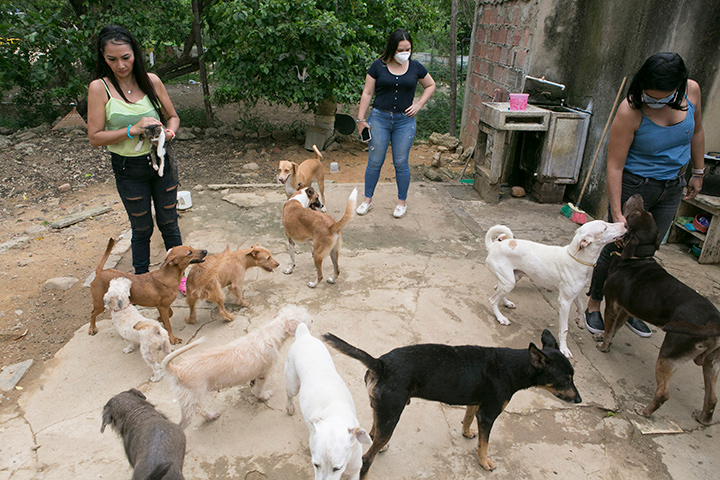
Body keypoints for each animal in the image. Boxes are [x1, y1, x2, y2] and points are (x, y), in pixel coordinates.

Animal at [162, 304, 312, 428]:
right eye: (306, 319)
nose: (312, 321)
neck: (270, 333)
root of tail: (178, 370)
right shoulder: (264, 372)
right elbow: (260, 390)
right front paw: (264, 396)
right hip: (194, 398)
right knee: (189, 418)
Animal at [284, 322, 372, 480]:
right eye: (315, 464)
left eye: (337, 468)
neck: (337, 417)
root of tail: (304, 335)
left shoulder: (354, 471)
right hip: (293, 384)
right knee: (289, 394)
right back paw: (290, 407)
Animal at [324, 328, 584, 474]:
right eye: (565, 379)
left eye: (573, 376)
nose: (580, 399)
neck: (512, 367)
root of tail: (380, 363)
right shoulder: (488, 414)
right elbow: (484, 443)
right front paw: (485, 462)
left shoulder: (475, 403)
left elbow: (467, 419)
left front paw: (467, 433)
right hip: (392, 415)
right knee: (367, 459)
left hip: (383, 411)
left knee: (373, 433)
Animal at [486, 219, 628, 358]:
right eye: (605, 228)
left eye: (606, 223)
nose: (626, 224)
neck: (577, 258)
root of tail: (493, 245)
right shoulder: (564, 301)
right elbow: (564, 330)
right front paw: (564, 349)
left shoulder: (575, 294)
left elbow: (581, 306)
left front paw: (580, 321)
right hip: (509, 282)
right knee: (492, 300)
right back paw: (501, 318)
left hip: (513, 278)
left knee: (497, 290)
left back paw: (507, 303)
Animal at [596, 193, 720, 426]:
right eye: (647, 213)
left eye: (636, 213)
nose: (637, 195)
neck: (637, 257)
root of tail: (713, 323)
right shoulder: (627, 309)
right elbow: (615, 328)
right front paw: (603, 338)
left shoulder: (613, 303)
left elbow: (609, 329)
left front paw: (604, 346)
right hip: (711, 362)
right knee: (712, 398)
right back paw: (703, 418)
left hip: (668, 355)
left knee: (663, 393)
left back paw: (645, 411)